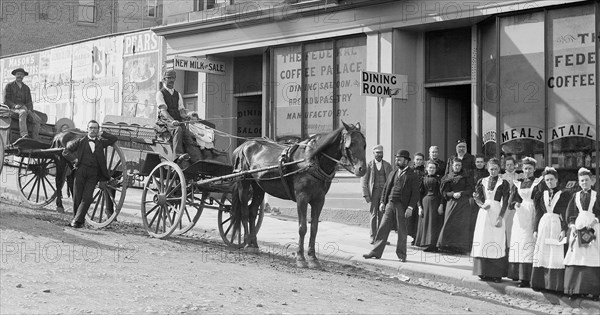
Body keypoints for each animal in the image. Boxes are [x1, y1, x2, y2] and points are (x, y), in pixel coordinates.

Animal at [233, 121, 366, 270]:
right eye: (350, 144)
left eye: (364, 144)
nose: (362, 169)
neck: (312, 160)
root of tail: (244, 145)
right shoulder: (302, 198)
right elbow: (302, 228)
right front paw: (301, 258)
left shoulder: (319, 200)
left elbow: (314, 228)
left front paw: (313, 258)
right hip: (244, 183)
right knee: (244, 211)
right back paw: (246, 242)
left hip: (259, 187)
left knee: (252, 211)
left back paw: (253, 244)